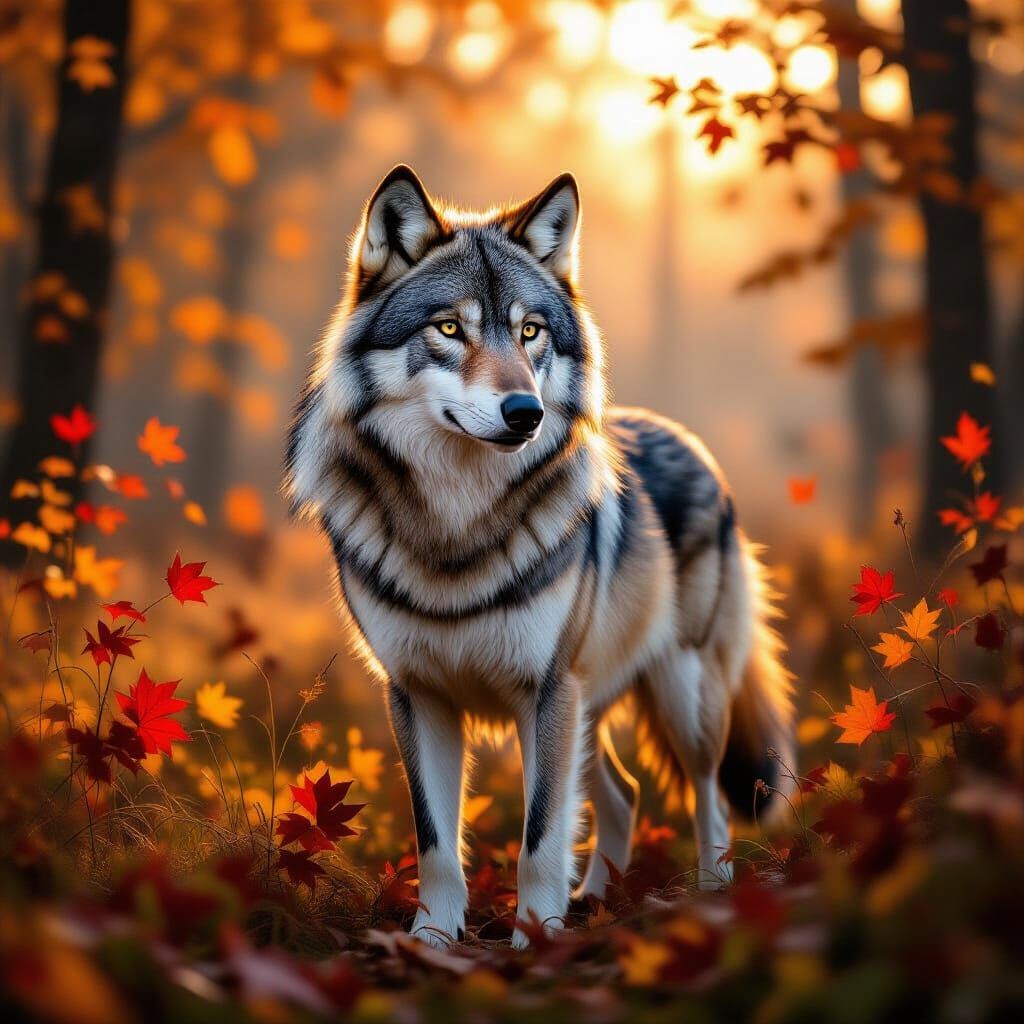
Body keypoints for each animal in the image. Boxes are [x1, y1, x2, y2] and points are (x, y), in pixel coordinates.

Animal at [285, 165, 794, 949]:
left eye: (531, 331)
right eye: (449, 328)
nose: (525, 413)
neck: (456, 527)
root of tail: (690, 440)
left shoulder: (545, 690)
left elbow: (539, 835)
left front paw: (535, 941)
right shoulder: (418, 694)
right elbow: (437, 841)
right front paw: (434, 941)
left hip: (680, 694)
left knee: (706, 796)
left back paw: (710, 893)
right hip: (592, 708)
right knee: (626, 793)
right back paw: (598, 898)